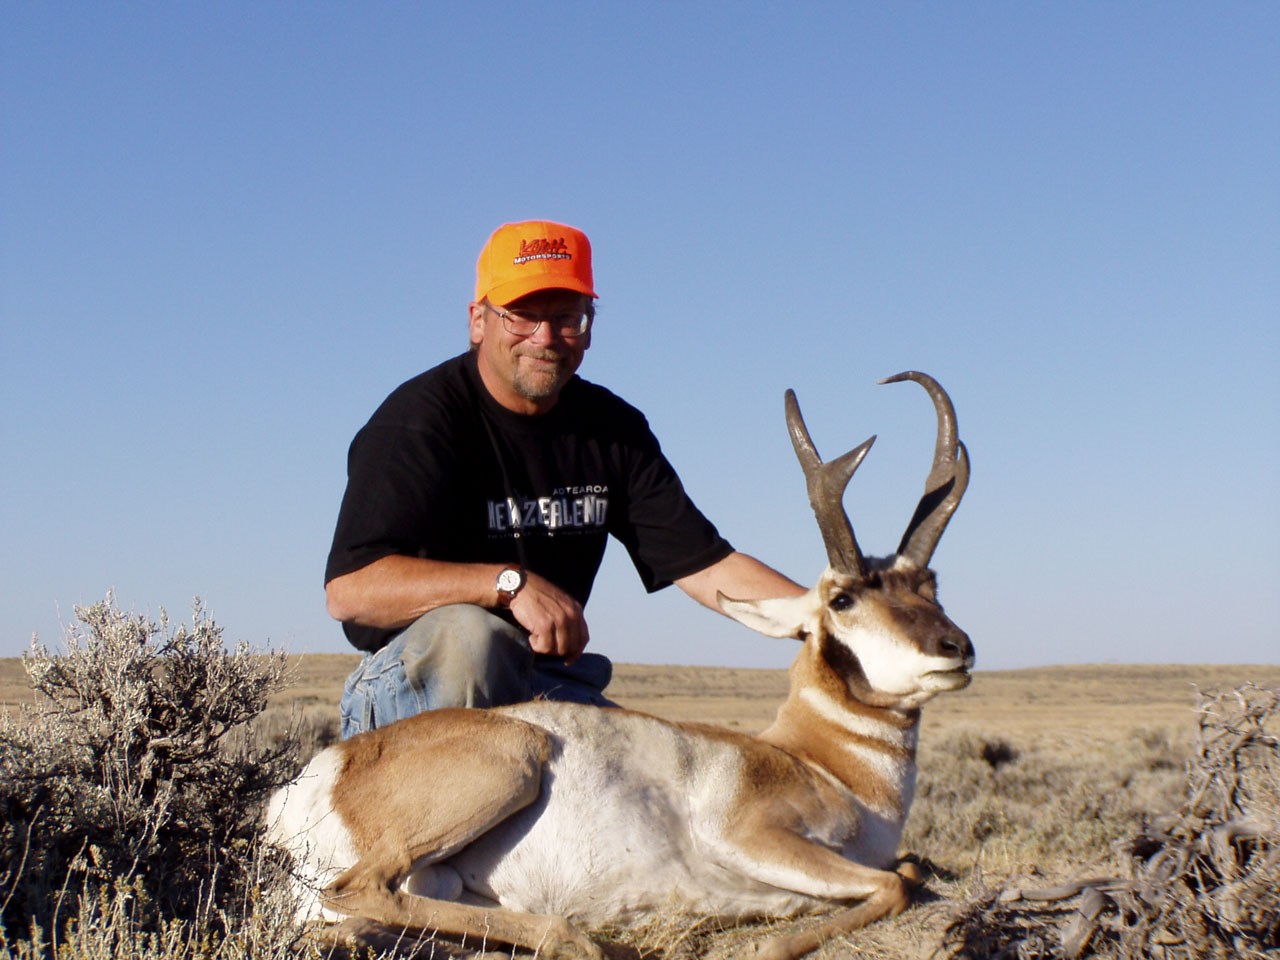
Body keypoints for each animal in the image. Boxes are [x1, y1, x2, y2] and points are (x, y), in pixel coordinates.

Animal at [267, 371, 967, 957]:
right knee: (358, 889)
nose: (956, 649)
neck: (818, 761)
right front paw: (772, 946)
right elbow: (894, 884)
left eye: (930, 586)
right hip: (514, 761)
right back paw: (580, 939)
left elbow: (907, 869)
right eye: (842, 600)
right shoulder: (752, 835)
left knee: (368, 921)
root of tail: (317, 778)